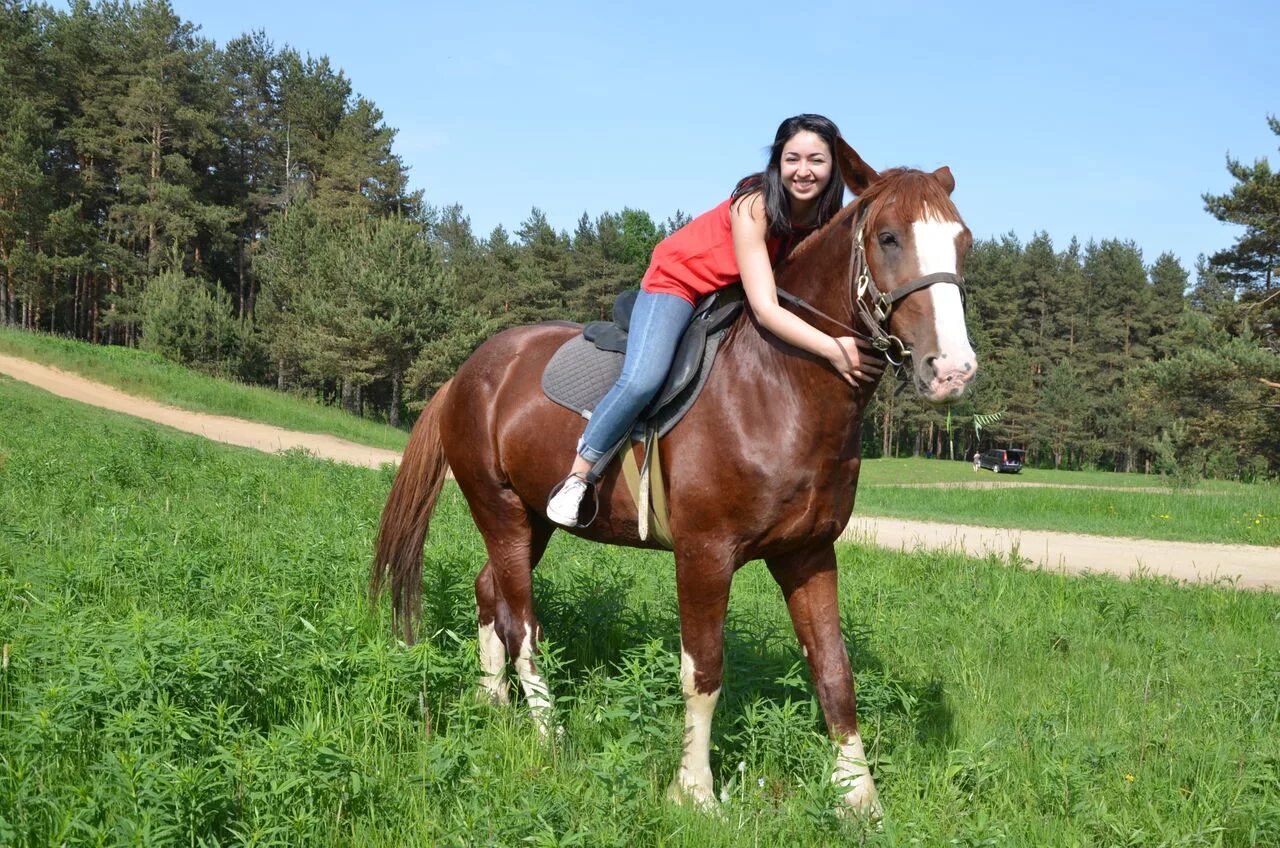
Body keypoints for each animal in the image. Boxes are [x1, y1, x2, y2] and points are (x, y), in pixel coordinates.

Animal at [371, 139, 977, 819]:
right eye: (890, 237)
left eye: (963, 241)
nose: (953, 370)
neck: (778, 389)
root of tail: (466, 372)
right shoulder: (704, 554)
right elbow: (703, 672)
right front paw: (694, 791)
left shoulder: (810, 554)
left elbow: (834, 670)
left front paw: (858, 797)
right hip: (496, 507)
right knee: (522, 623)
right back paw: (548, 732)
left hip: (531, 519)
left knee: (489, 592)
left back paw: (492, 701)